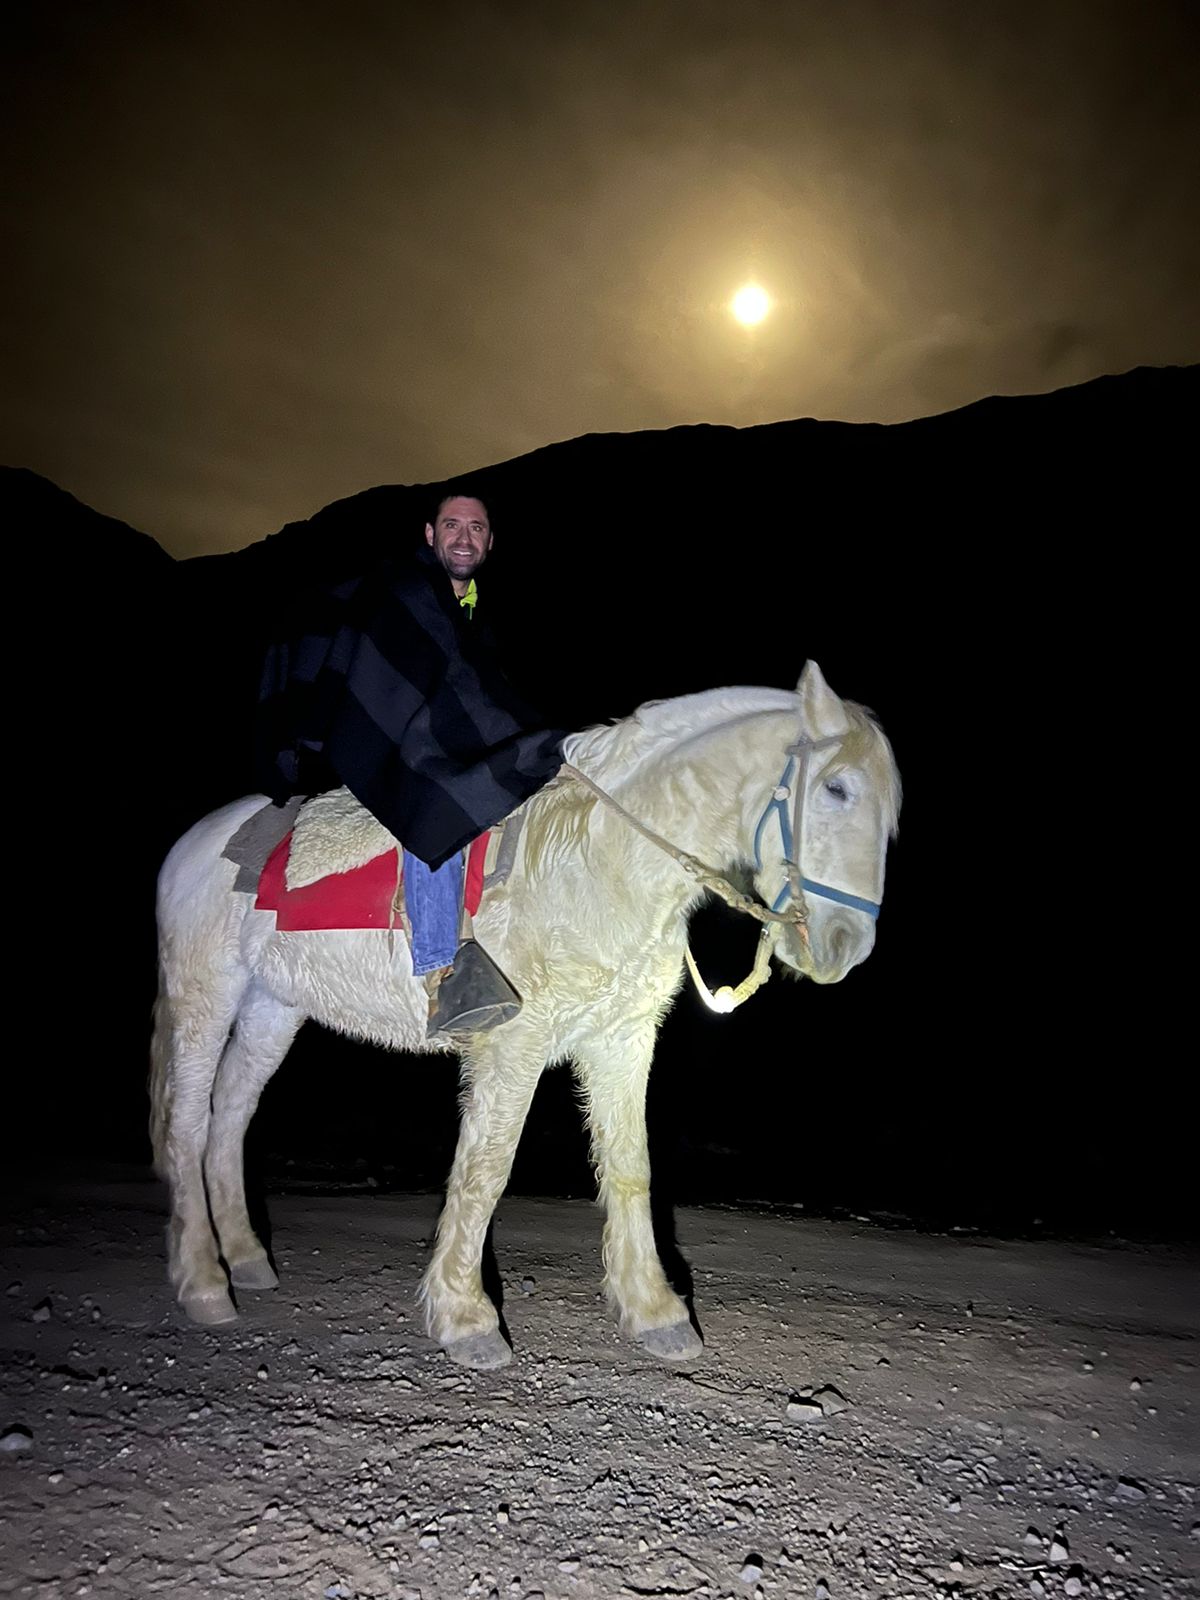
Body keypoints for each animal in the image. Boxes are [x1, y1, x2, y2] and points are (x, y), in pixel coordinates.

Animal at [150, 659, 896, 1363]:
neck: (598, 861)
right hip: (205, 998)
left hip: (272, 1010)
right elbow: (486, 1171)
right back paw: (205, 1282)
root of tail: (194, 844)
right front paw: (465, 1317)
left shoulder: (622, 1041)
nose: (846, 947)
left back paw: (246, 1258)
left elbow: (632, 1168)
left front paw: (654, 1311)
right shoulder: (516, 1042)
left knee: (230, 1116)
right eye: (837, 789)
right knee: (189, 1125)